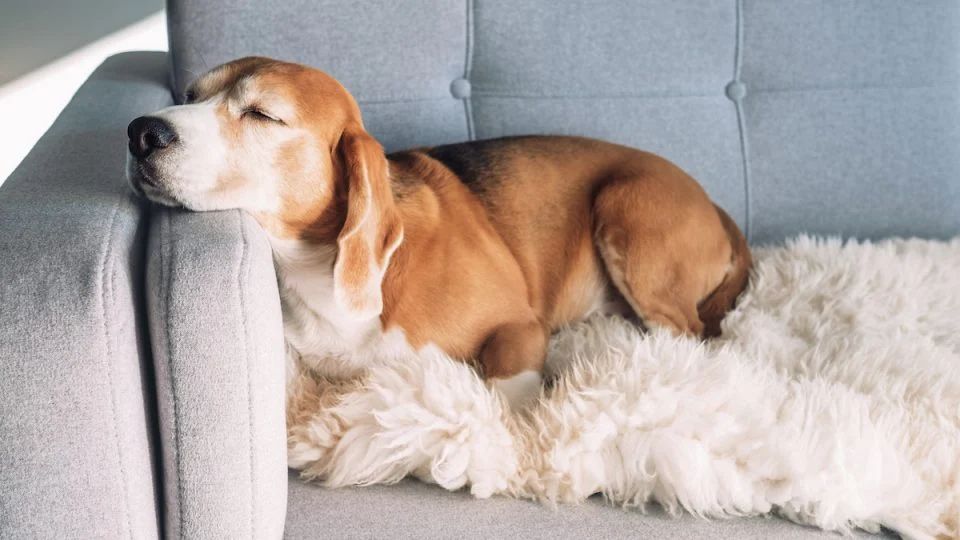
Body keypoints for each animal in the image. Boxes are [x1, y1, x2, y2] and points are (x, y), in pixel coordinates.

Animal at [124, 57, 752, 408]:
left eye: (262, 114)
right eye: (189, 96)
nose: (140, 132)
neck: (314, 268)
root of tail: (714, 204)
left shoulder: (519, 326)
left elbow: (506, 390)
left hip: (626, 208)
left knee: (687, 333)